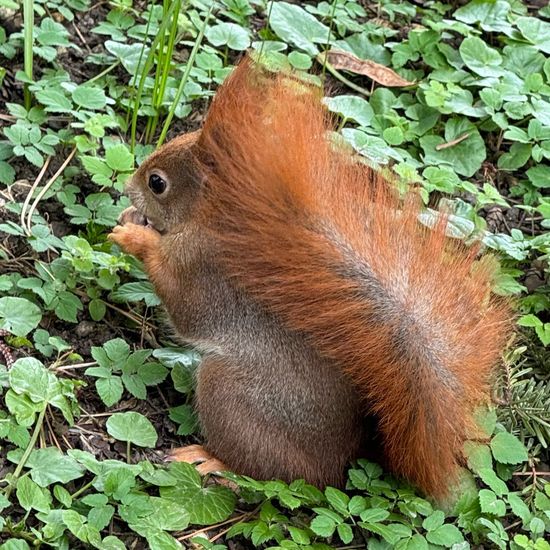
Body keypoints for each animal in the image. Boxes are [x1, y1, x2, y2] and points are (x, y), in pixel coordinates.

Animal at [110, 59, 516, 500]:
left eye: (157, 183)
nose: (127, 188)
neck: (212, 219)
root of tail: (338, 463)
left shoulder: (203, 267)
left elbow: (182, 302)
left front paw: (134, 235)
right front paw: (129, 220)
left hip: (233, 394)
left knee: (272, 470)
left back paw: (212, 460)